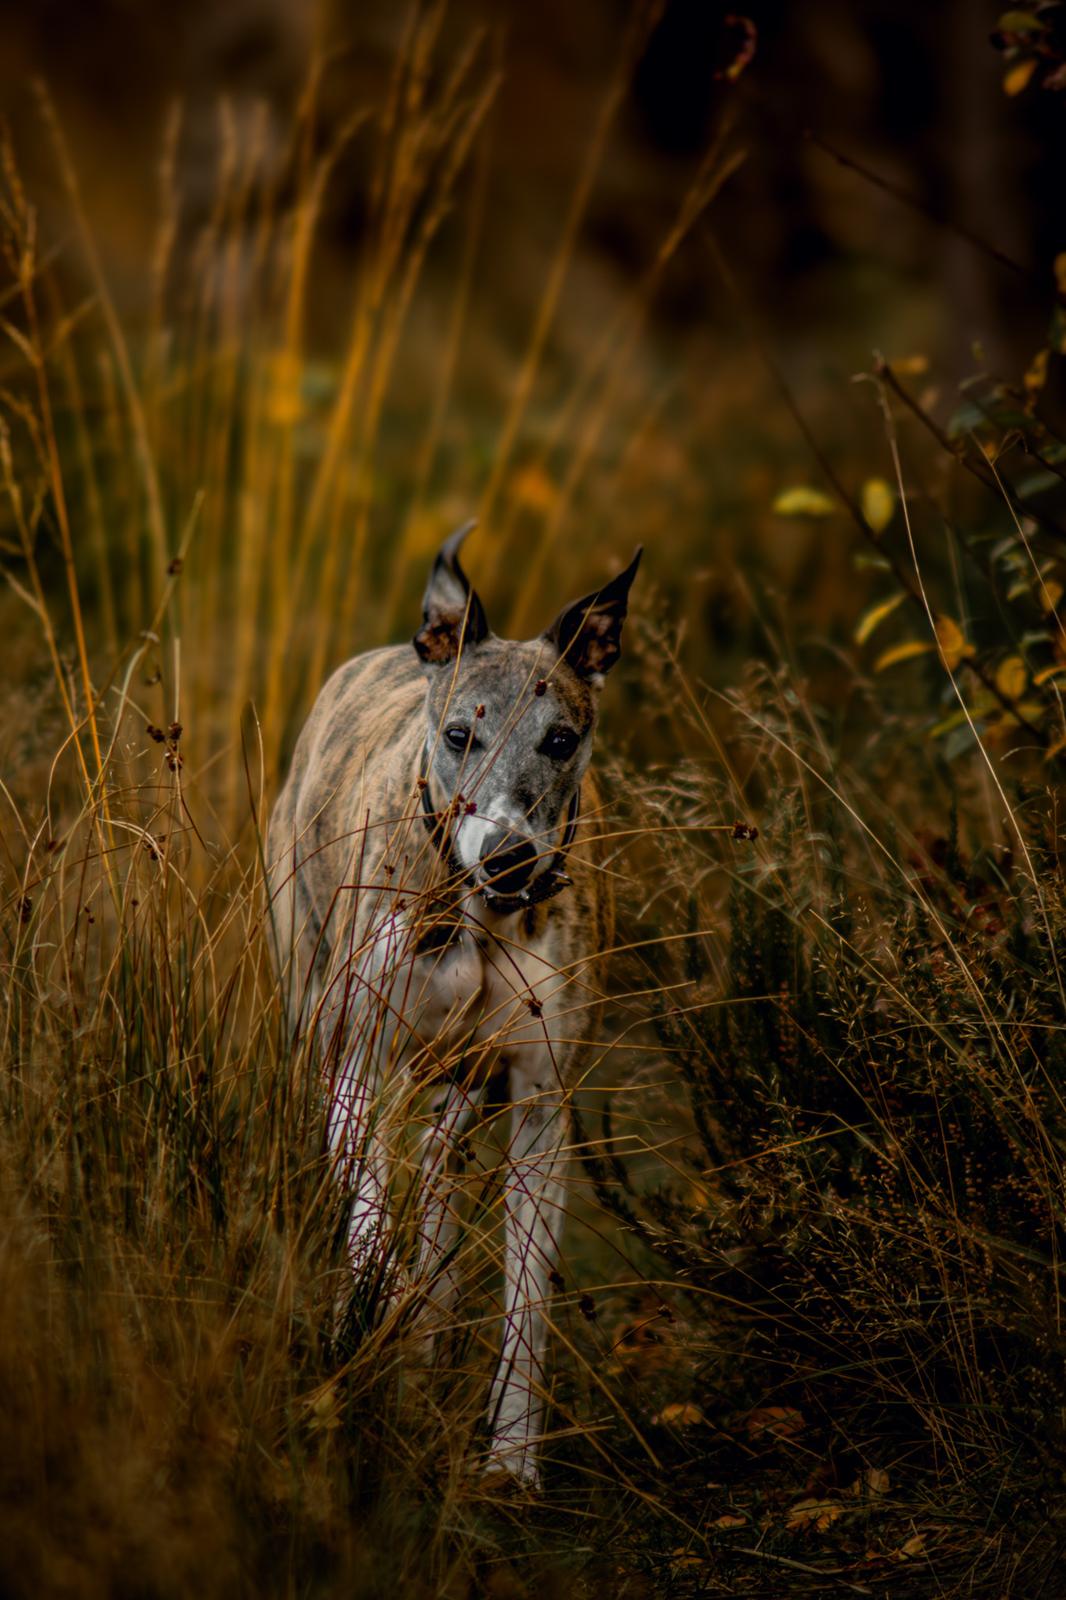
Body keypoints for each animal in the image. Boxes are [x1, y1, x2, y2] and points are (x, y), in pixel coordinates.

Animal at [267, 528, 640, 1484]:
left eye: (561, 739)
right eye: (460, 735)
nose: (508, 855)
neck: (473, 913)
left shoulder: (542, 1104)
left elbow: (527, 1297)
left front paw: (510, 1460)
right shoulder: (356, 1063)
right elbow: (369, 1226)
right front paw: (371, 1327)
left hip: (458, 1092)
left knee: (436, 1188)